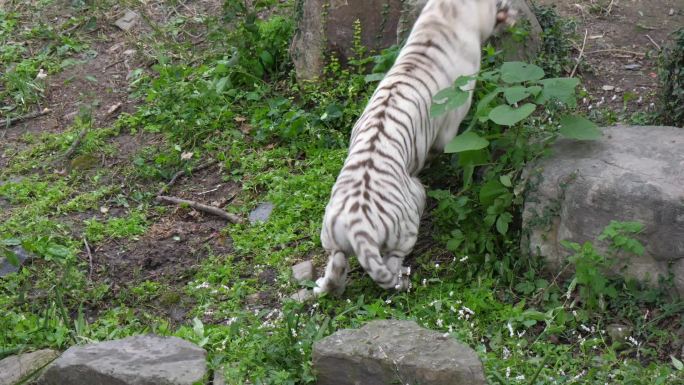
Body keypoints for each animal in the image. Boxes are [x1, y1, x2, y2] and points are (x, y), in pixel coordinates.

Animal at [318, 0, 516, 296]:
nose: (509, 11)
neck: (445, 14)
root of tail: (358, 228)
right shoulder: (452, 120)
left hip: (331, 238)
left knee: (335, 267)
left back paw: (324, 286)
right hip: (410, 212)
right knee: (392, 262)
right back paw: (403, 279)